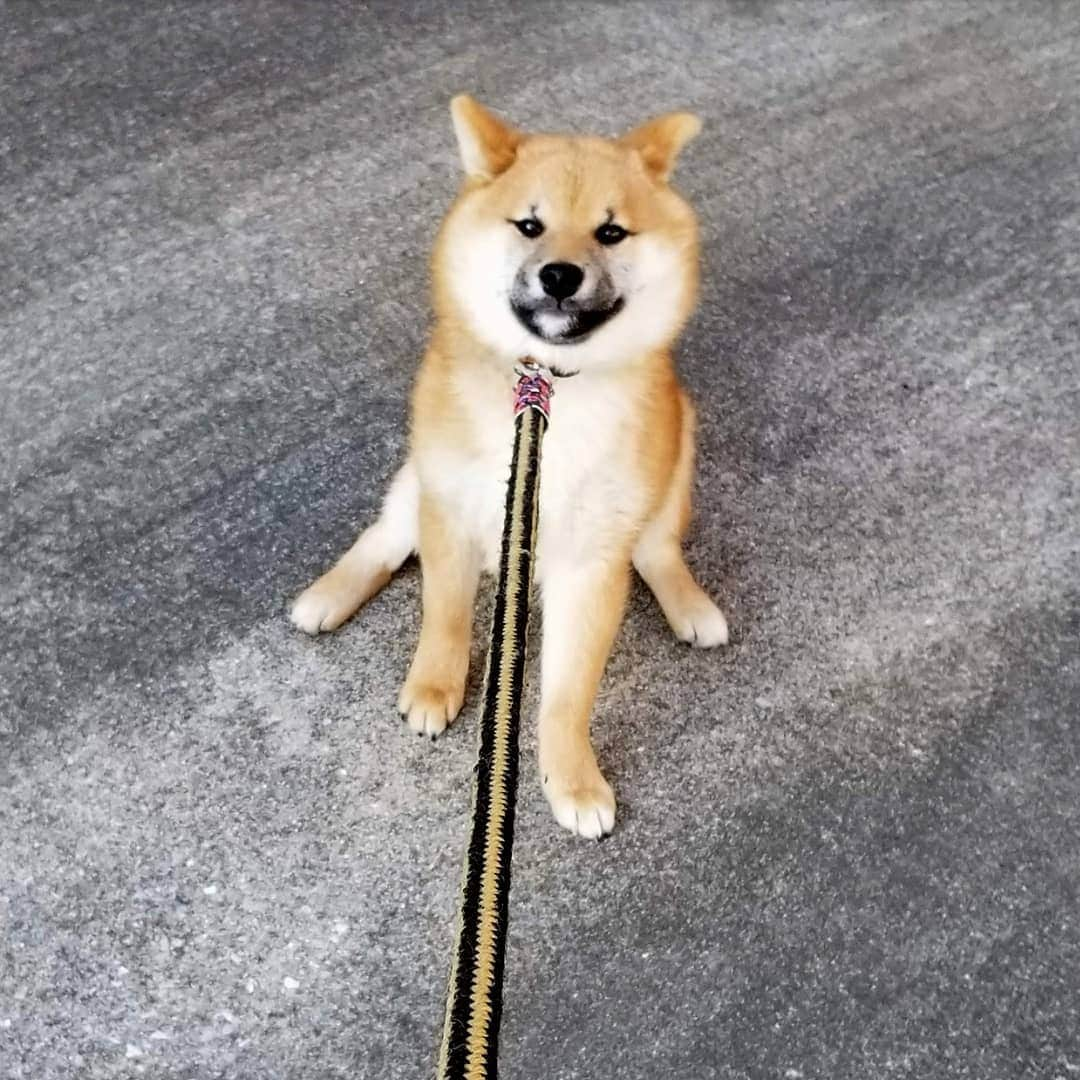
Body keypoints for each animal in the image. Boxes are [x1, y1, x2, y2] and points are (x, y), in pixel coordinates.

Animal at [291, 97, 725, 838]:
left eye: (611, 232)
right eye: (530, 225)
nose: (560, 275)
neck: (546, 390)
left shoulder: (592, 564)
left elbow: (569, 693)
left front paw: (571, 778)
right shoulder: (451, 506)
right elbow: (444, 613)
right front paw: (433, 684)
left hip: (677, 455)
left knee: (657, 549)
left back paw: (689, 602)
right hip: (418, 477)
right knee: (386, 536)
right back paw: (330, 593)